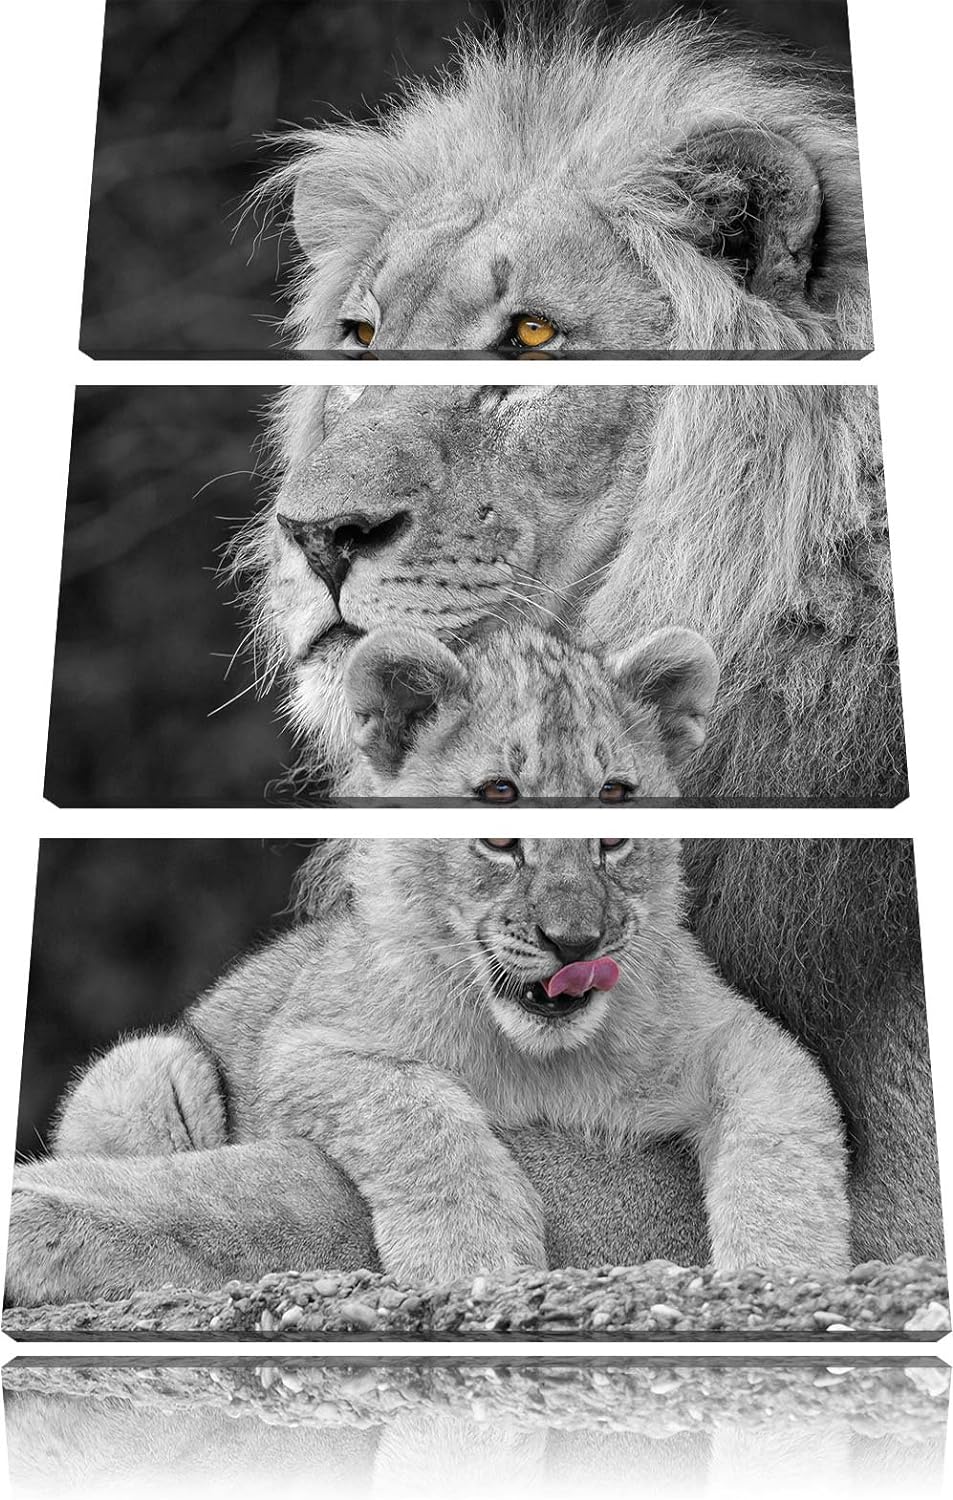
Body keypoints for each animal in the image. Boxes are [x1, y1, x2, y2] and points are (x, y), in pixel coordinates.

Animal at [8, 838, 849, 1302]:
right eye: (501, 847)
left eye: (612, 845)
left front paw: (783, 1271)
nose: (573, 941)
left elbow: (782, 1132)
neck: (542, 1056)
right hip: (145, 1068)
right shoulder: (308, 1045)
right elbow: (412, 1109)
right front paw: (475, 1255)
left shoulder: (728, 1034)